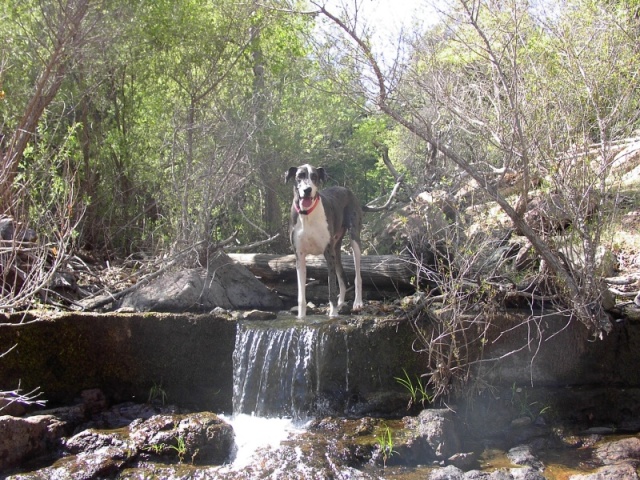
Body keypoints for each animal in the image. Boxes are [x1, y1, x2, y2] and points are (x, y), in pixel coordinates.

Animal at [286, 163, 364, 316]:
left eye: (314, 177)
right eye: (300, 176)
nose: (307, 190)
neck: (307, 215)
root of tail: (345, 189)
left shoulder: (328, 253)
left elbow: (331, 288)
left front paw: (333, 314)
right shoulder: (299, 257)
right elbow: (301, 295)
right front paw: (301, 317)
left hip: (354, 240)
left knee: (357, 275)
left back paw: (357, 302)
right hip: (336, 249)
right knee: (342, 277)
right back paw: (341, 303)